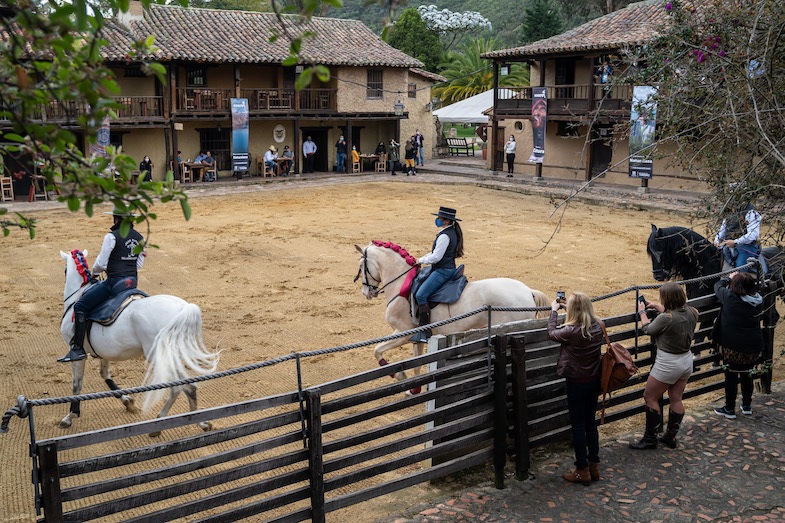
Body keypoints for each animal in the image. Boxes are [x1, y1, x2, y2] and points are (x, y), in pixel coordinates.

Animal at [58, 250, 219, 434]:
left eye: (65, 270)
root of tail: (183, 309)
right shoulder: (104, 353)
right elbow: (105, 375)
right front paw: (128, 402)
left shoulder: (78, 355)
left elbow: (76, 385)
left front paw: (70, 416)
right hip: (172, 356)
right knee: (189, 386)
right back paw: (201, 422)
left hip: (158, 357)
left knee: (178, 387)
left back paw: (159, 423)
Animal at [354, 242, 544, 388]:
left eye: (361, 267)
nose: (366, 292)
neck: (402, 285)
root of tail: (528, 291)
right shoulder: (417, 337)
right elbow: (416, 363)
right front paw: (413, 389)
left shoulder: (402, 333)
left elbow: (377, 350)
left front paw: (400, 377)